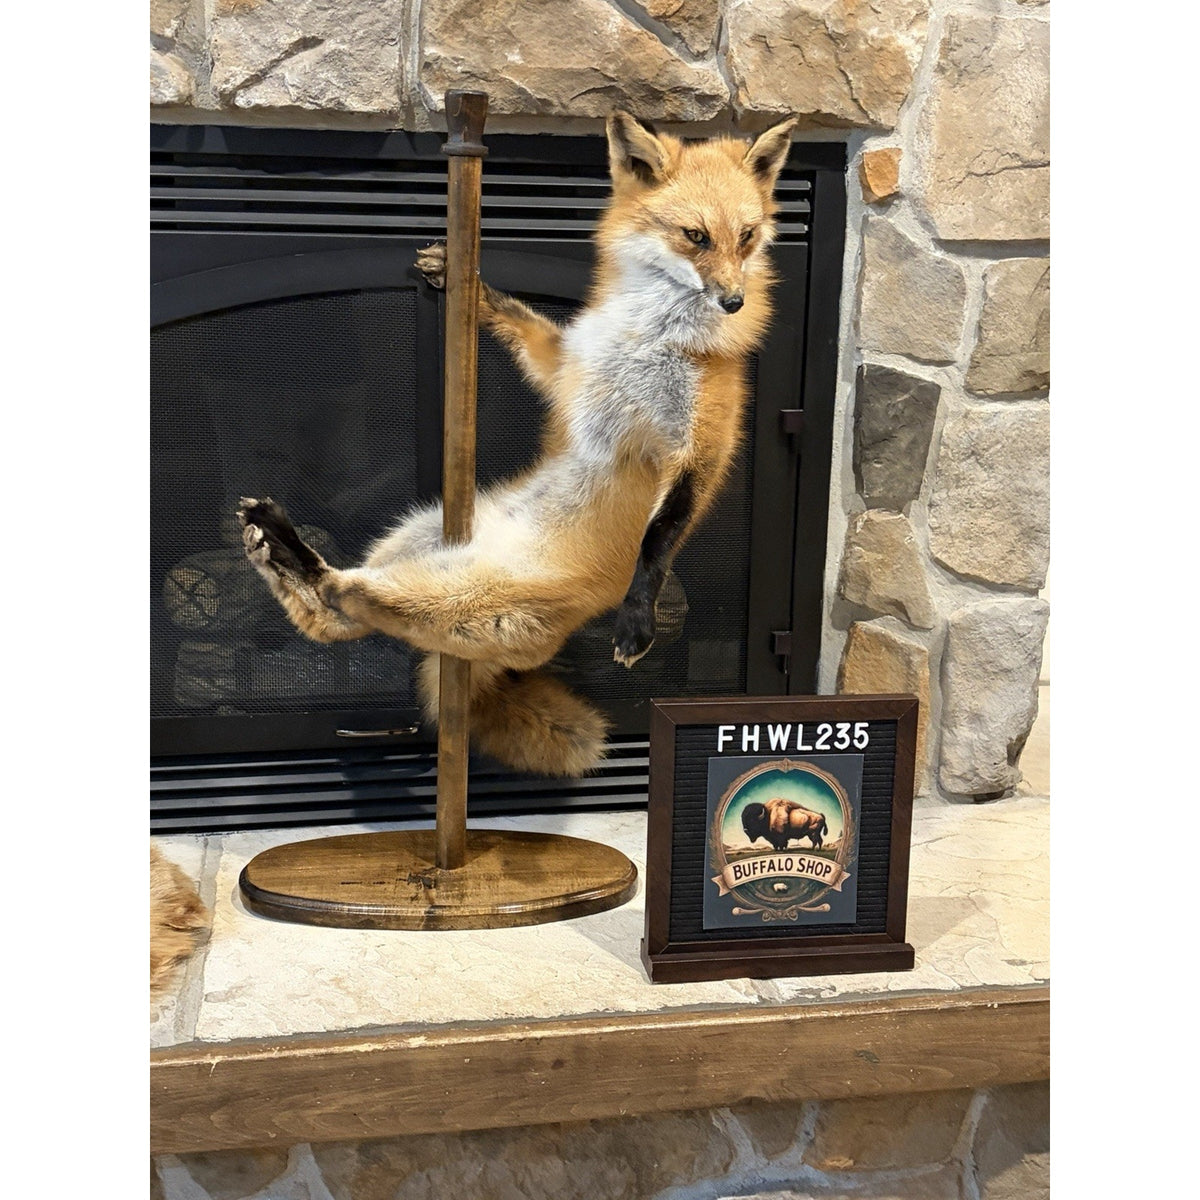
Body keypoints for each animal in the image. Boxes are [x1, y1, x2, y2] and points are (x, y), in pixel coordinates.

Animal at [237, 111, 798, 777]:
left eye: (747, 237)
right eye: (695, 236)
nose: (733, 300)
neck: (646, 333)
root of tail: (480, 552)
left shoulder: (702, 446)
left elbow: (664, 534)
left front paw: (638, 617)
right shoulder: (569, 365)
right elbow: (523, 323)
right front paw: (473, 288)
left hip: (465, 601)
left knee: (347, 604)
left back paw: (305, 565)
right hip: (417, 534)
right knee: (332, 619)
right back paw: (278, 549)